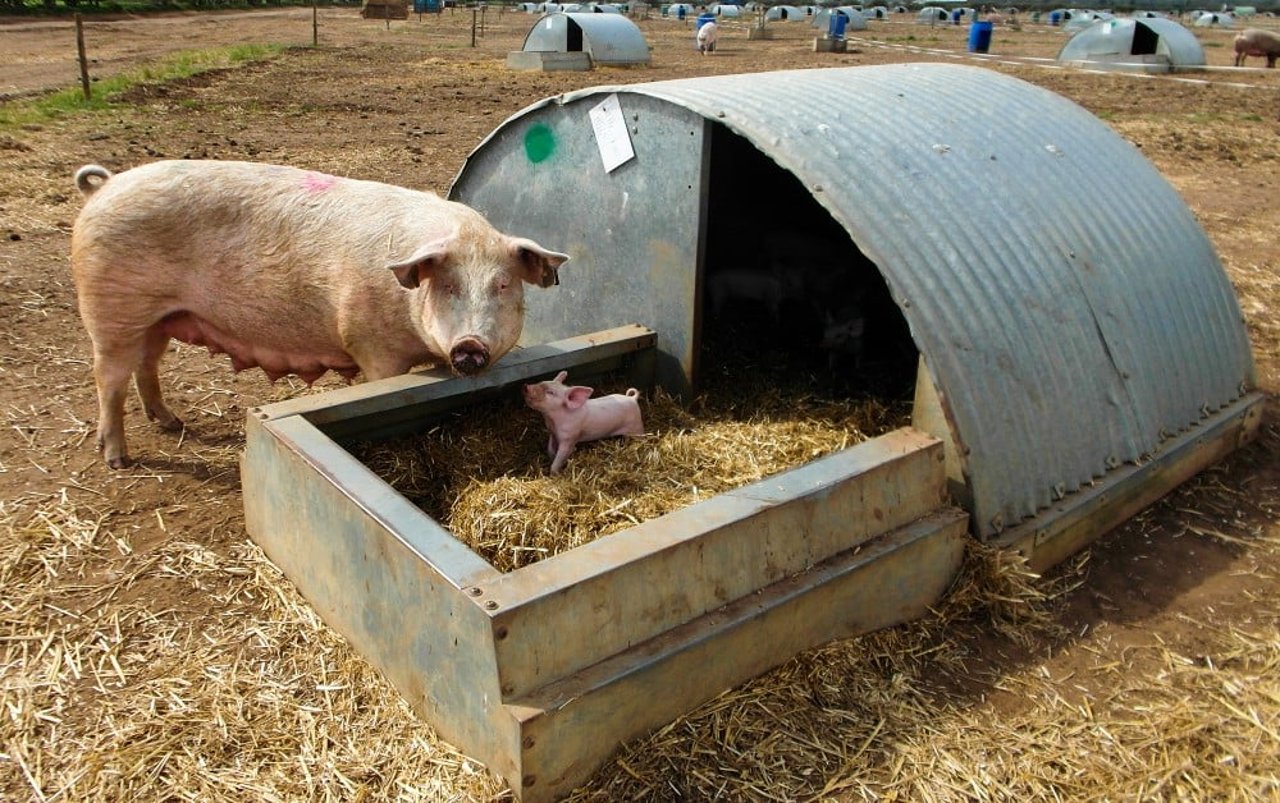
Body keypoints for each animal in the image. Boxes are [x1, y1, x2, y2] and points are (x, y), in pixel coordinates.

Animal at [70, 159, 568, 468]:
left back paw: (170, 422)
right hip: (110, 308)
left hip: (157, 317)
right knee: (108, 378)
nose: (469, 346)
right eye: (447, 286)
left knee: (146, 364)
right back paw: (117, 459)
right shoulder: (372, 345)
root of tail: (105, 186)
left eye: (502, 285)